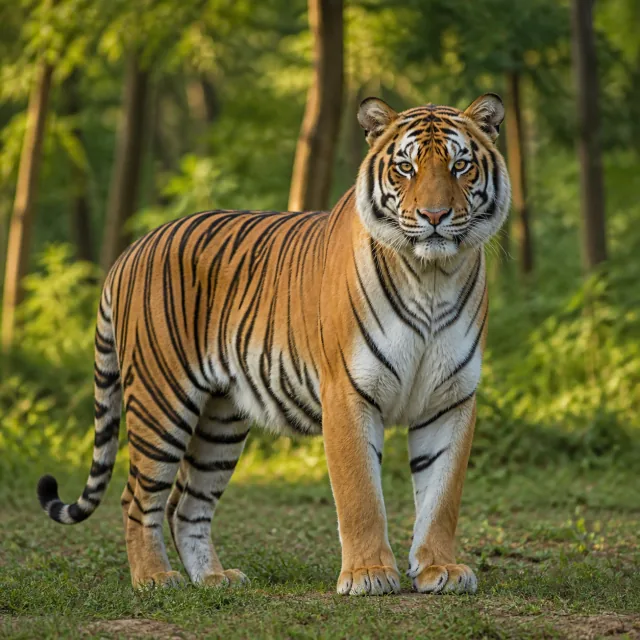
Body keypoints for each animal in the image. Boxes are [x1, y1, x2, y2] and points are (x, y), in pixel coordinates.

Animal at [37, 93, 510, 596]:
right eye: (406, 167)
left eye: (460, 166)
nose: (435, 217)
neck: (431, 276)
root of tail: (130, 250)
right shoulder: (348, 392)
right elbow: (360, 493)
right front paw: (368, 574)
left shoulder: (450, 398)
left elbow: (442, 495)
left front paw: (440, 569)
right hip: (160, 401)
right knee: (137, 497)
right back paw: (155, 579)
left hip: (220, 419)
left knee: (186, 503)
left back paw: (213, 578)